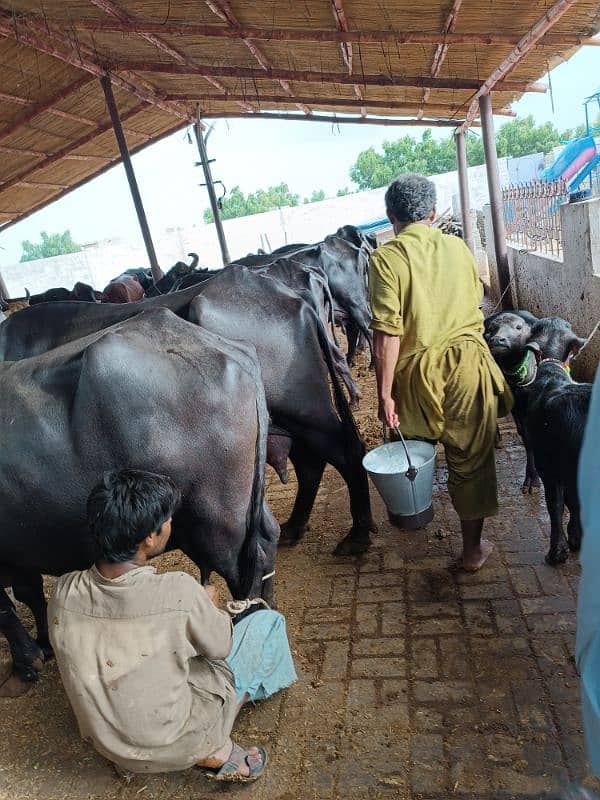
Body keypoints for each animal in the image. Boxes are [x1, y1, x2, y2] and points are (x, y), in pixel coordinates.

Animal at [0, 310, 276, 696]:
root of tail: (232, 352)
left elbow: (6, 610)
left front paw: (25, 663)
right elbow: (30, 594)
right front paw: (41, 645)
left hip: (219, 520)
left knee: (248, 567)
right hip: (247, 504)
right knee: (268, 538)